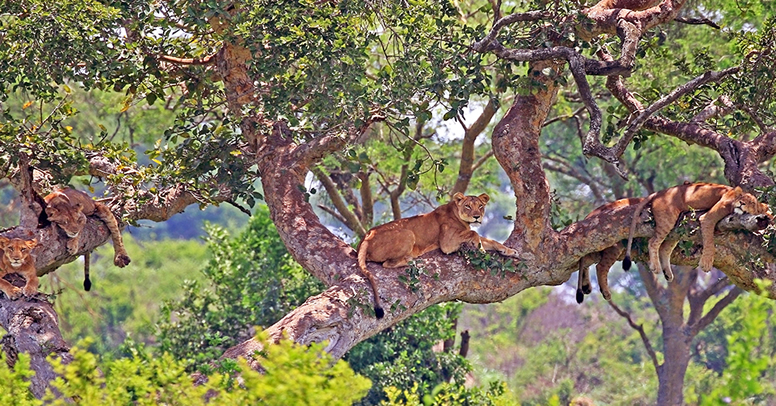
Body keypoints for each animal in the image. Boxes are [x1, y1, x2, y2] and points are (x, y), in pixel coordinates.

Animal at [360, 193, 520, 318]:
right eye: (468, 206)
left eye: (480, 206)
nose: (477, 216)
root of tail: (366, 237)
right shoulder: (447, 242)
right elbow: (474, 233)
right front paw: (481, 250)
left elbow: (490, 240)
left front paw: (509, 251)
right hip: (408, 233)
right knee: (387, 264)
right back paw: (410, 260)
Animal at [620, 182, 768, 280]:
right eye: (741, 198)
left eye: (752, 203)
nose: (742, 203)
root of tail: (659, 192)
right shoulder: (707, 218)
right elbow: (710, 242)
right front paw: (706, 263)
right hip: (667, 220)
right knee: (653, 242)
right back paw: (655, 267)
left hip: (676, 228)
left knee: (664, 248)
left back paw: (667, 273)